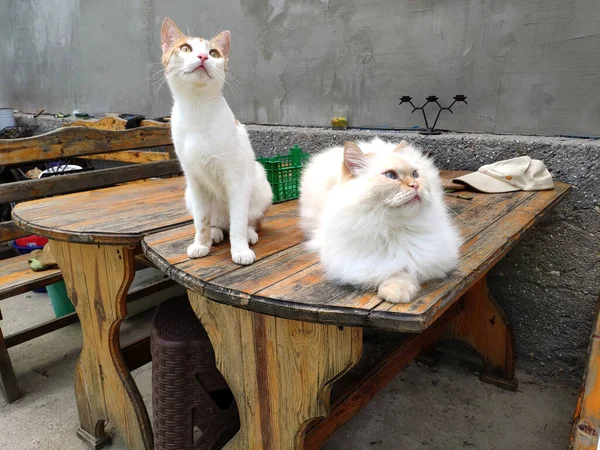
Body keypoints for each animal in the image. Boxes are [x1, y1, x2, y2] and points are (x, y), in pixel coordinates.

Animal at [161, 17, 270, 266]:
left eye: (214, 53)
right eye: (185, 48)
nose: (203, 57)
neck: (198, 108)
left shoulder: (237, 179)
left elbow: (238, 220)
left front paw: (239, 249)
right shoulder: (195, 181)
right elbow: (201, 221)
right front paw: (201, 243)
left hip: (261, 183)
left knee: (247, 219)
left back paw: (249, 233)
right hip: (188, 194)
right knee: (217, 222)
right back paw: (216, 232)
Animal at [298, 137, 460, 304]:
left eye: (415, 174)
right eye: (390, 175)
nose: (415, 185)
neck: (393, 228)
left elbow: (405, 269)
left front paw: (396, 292)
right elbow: (388, 270)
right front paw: (394, 291)